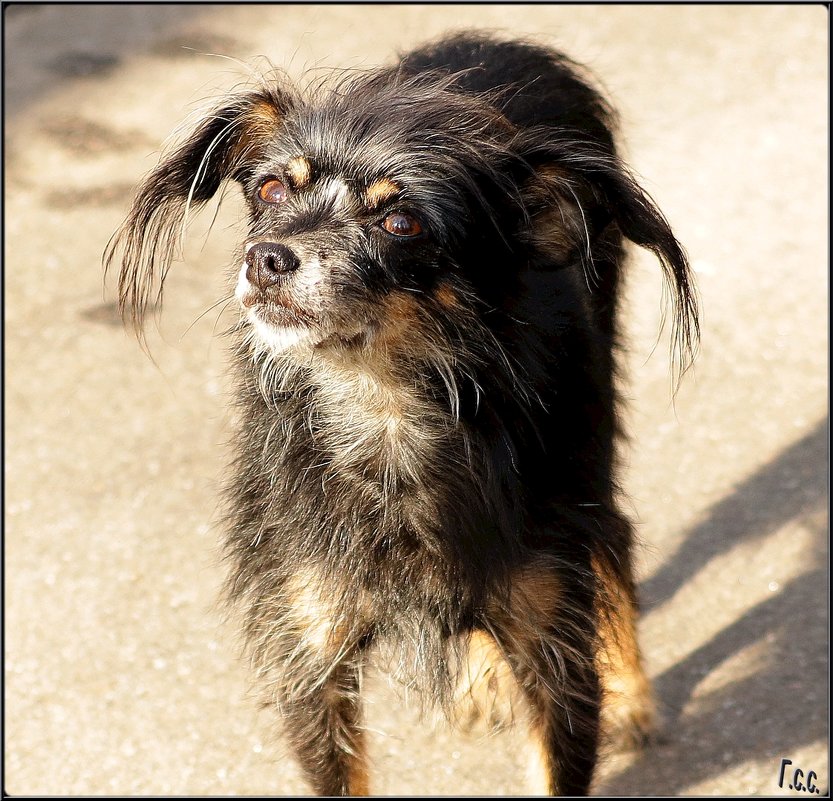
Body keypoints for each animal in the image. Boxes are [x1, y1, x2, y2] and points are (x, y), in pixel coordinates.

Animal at [107, 31, 700, 792]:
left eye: (400, 221)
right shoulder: (309, 643)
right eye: (270, 189)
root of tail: (499, 42)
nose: (266, 256)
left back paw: (632, 697)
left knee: (614, 539)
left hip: (588, 444)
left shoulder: (551, 633)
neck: (381, 407)